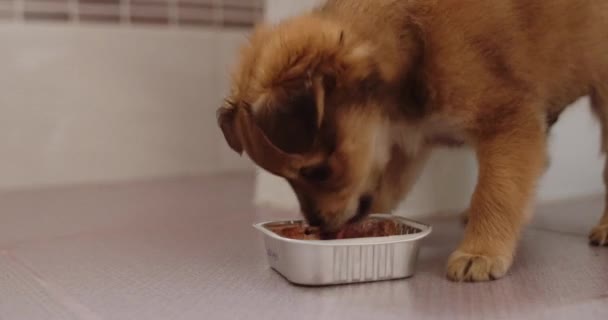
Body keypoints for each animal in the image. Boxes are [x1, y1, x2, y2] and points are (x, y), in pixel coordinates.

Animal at [217, 0, 608, 282]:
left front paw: (480, 252)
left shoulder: (509, 123)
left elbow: (496, 192)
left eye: (318, 172)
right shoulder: (405, 143)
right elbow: (385, 189)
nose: (317, 227)